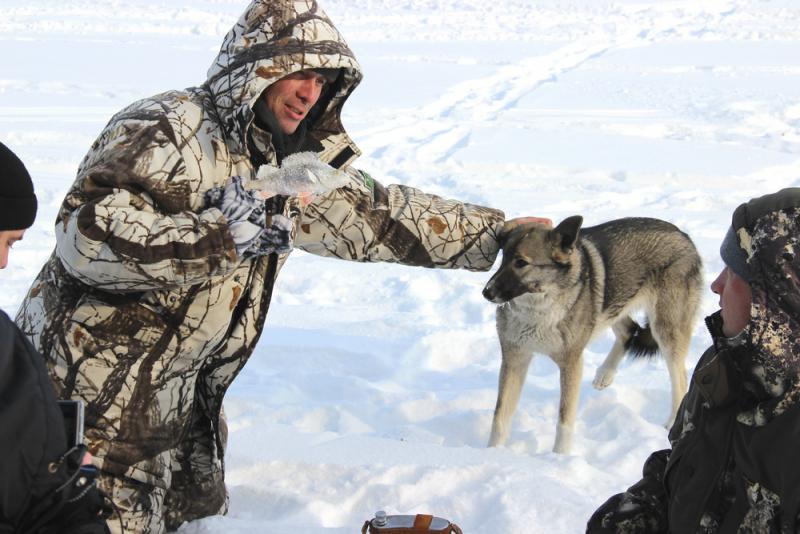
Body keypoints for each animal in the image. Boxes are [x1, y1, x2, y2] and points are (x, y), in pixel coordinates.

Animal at [482, 216, 700, 454]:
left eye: (521, 262)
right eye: (502, 258)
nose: (486, 292)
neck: (537, 308)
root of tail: (684, 236)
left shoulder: (571, 364)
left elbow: (564, 420)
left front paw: (559, 457)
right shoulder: (514, 359)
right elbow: (499, 418)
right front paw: (492, 453)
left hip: (665, 329)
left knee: (680, 378)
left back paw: (671, 423)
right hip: (611, 303)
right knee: (628, 330)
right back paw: (605, 374)